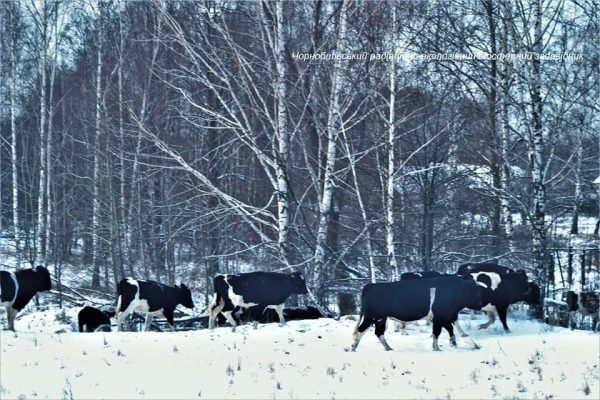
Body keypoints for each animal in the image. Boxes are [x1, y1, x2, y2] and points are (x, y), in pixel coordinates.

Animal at [352, 276, 488, 352]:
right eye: (476, 292)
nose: (481, 305)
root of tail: (372, 285)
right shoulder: (440, 317)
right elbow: (438, 332)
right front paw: (437, 348)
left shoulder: (444, 317)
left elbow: (451, 330)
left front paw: (454, 343)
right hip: (372, 316)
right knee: (361, 329)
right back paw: (353, 348)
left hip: (380, 318)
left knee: (378, 332)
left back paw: (388, 348)